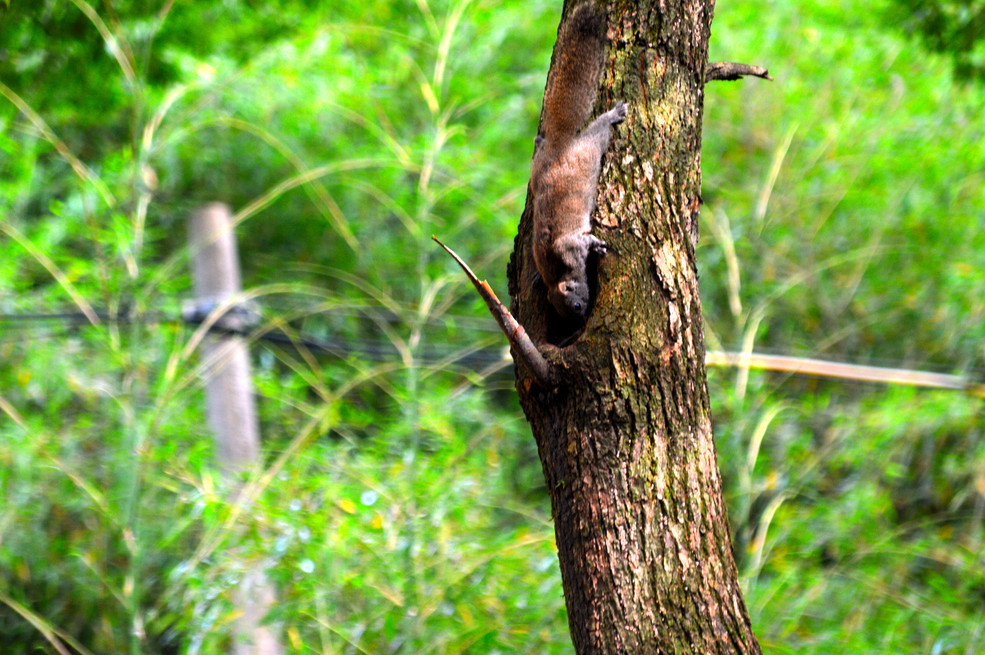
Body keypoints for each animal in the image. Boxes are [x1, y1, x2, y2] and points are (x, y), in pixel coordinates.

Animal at [528, 3, 628, 322]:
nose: (582, 317)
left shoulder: (568, 247)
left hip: (589, 150)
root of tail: (559, 146)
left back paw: (614, 114)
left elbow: (583, 243)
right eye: (566, 312)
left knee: (599, 130)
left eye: (573, 305)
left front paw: (597, 246)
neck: (558, 273)